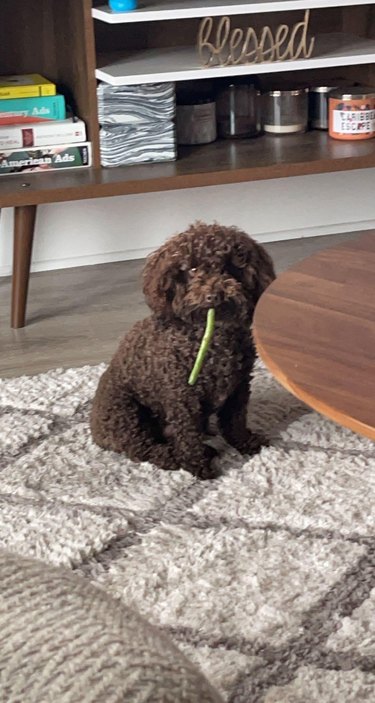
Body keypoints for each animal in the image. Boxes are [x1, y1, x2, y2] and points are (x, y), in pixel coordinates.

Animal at [89, 224, 274, 478]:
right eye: (192, 269)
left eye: (230, 266)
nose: (214, 295)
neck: (213, 338)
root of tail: (95, 431)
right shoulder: (182, 396)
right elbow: (187, 434)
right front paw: (197, 465)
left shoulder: (239, 387)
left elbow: (235, 421)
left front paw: (246, 443)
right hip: (125, 413)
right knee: (141, 448)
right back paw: (172, 456)